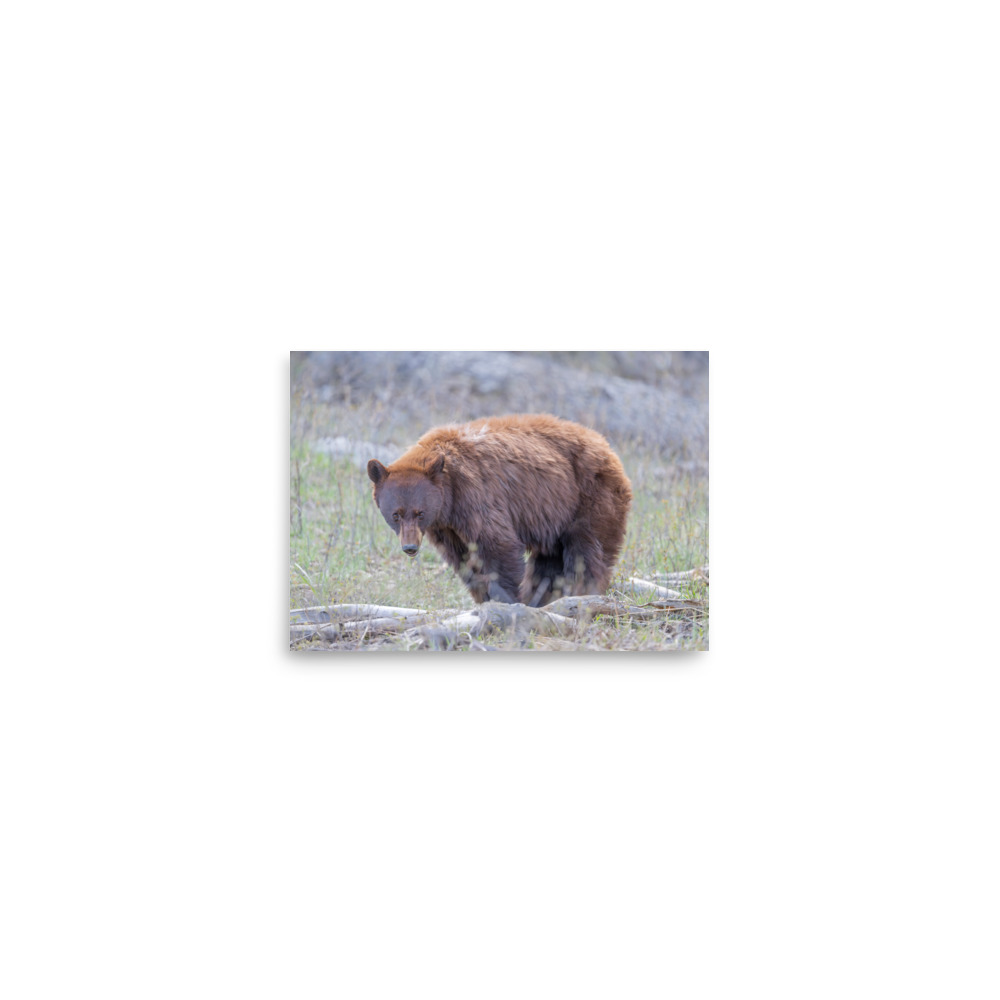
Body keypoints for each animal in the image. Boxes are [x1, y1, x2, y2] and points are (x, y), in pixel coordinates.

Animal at [367, 414, 632, 606]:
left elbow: (497, 545)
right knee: (549, 560)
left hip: (589, 496)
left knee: (587, 551)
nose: (410, 547)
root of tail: (607, 447)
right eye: (396, 515)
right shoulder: (446, 527)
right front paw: (484, 598)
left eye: (420, 513)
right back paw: (542, 597)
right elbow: (464, 559)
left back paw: (580, 592)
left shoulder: (477, 496)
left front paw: (506, 599)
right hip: (556, 515)